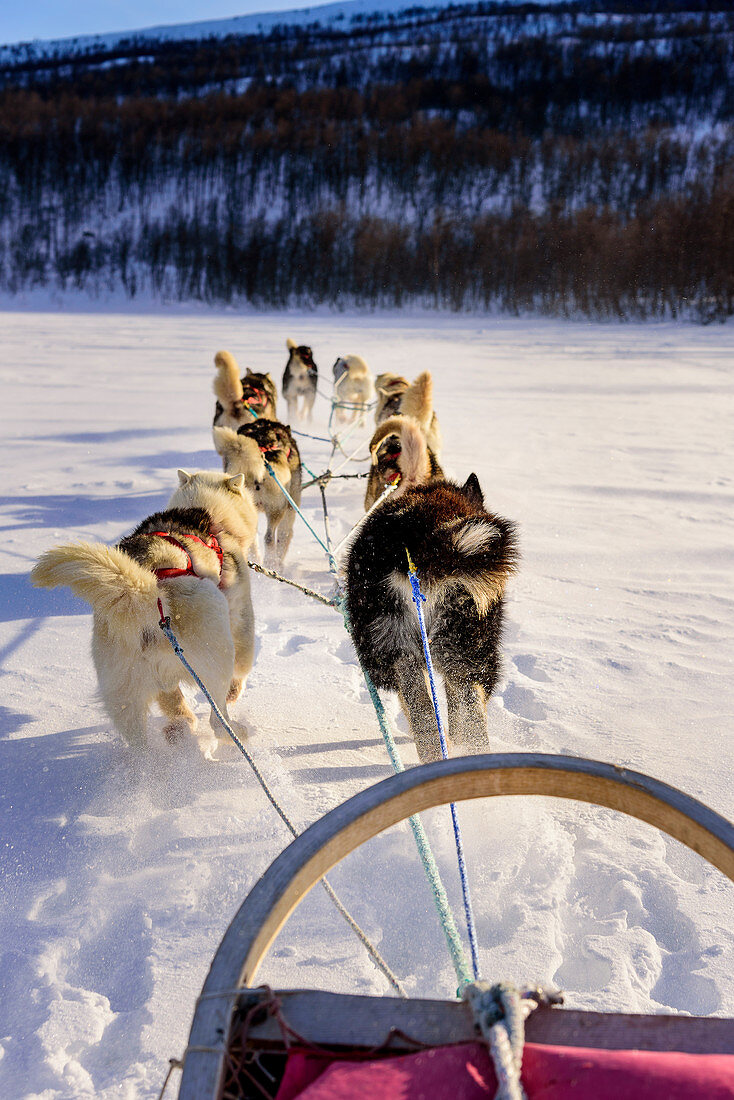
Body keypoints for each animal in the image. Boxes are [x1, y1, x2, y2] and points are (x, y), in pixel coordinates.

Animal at [30, 468, 258, 752]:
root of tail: (147, 596)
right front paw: (235, 692)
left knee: (144, 736)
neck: (207, 510)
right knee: (217, 718)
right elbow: (242, 666)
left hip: (124, 694)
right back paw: (234, 732)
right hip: (215, 647)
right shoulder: (241, 614)